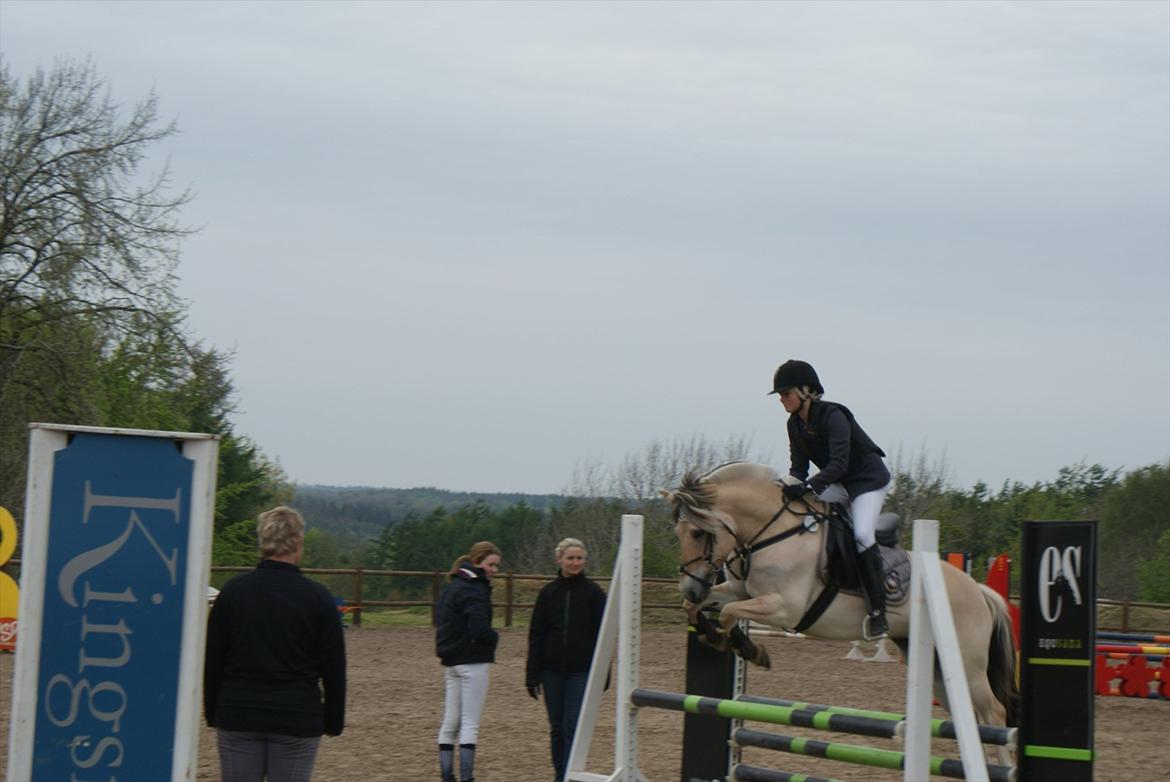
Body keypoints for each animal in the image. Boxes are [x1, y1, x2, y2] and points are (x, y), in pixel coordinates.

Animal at [664, 461, 1020, 735]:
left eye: (698, 532)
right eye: (677, 534)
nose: (690, 586)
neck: (773, 532)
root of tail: (978, 591)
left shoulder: (784, 608)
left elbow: (729, 614)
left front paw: (749, 649)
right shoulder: (740, 591)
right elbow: (700, 608)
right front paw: (713, 633)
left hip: (967, 665)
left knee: (995, 713)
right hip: (938, 669)